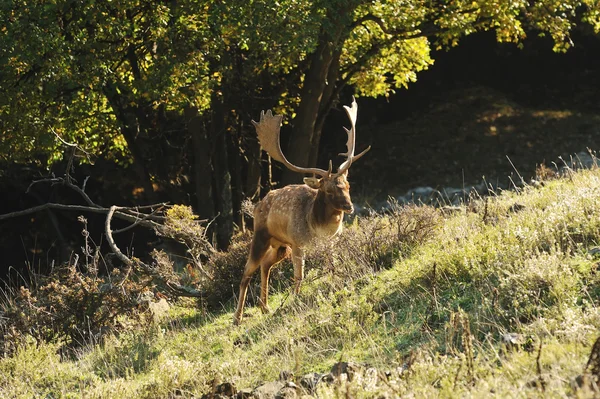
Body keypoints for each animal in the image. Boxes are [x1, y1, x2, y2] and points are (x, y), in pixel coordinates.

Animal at [233, 97, 370, 324]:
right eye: (328, 190)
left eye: (348, 185)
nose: (349, 207)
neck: (318, 228)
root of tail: (258, 205)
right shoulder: (298, 243)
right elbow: (300, 275)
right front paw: (296, 299)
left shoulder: (330, 242)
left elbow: (332, 266)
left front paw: (335, 285)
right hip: (262, 236)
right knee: (246, 271)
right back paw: (238, 317)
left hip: (280, 245)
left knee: (266, 265)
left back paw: (265, 307)